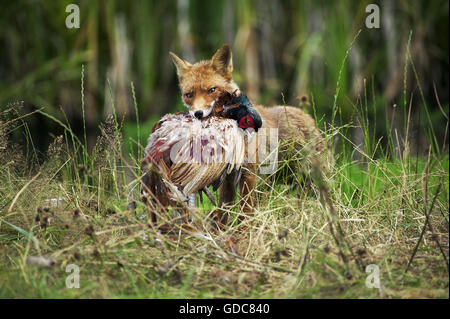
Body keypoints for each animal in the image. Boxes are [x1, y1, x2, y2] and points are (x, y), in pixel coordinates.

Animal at [170, 43, 324, 228]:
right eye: (189, 95)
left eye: (212, 90)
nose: (198, 114)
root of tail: (308, 117)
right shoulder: (228, 179)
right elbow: (224, 209)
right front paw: (222, 231)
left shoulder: (249, 174)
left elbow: (246, 211)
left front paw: (244, 232)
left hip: (309, 179)